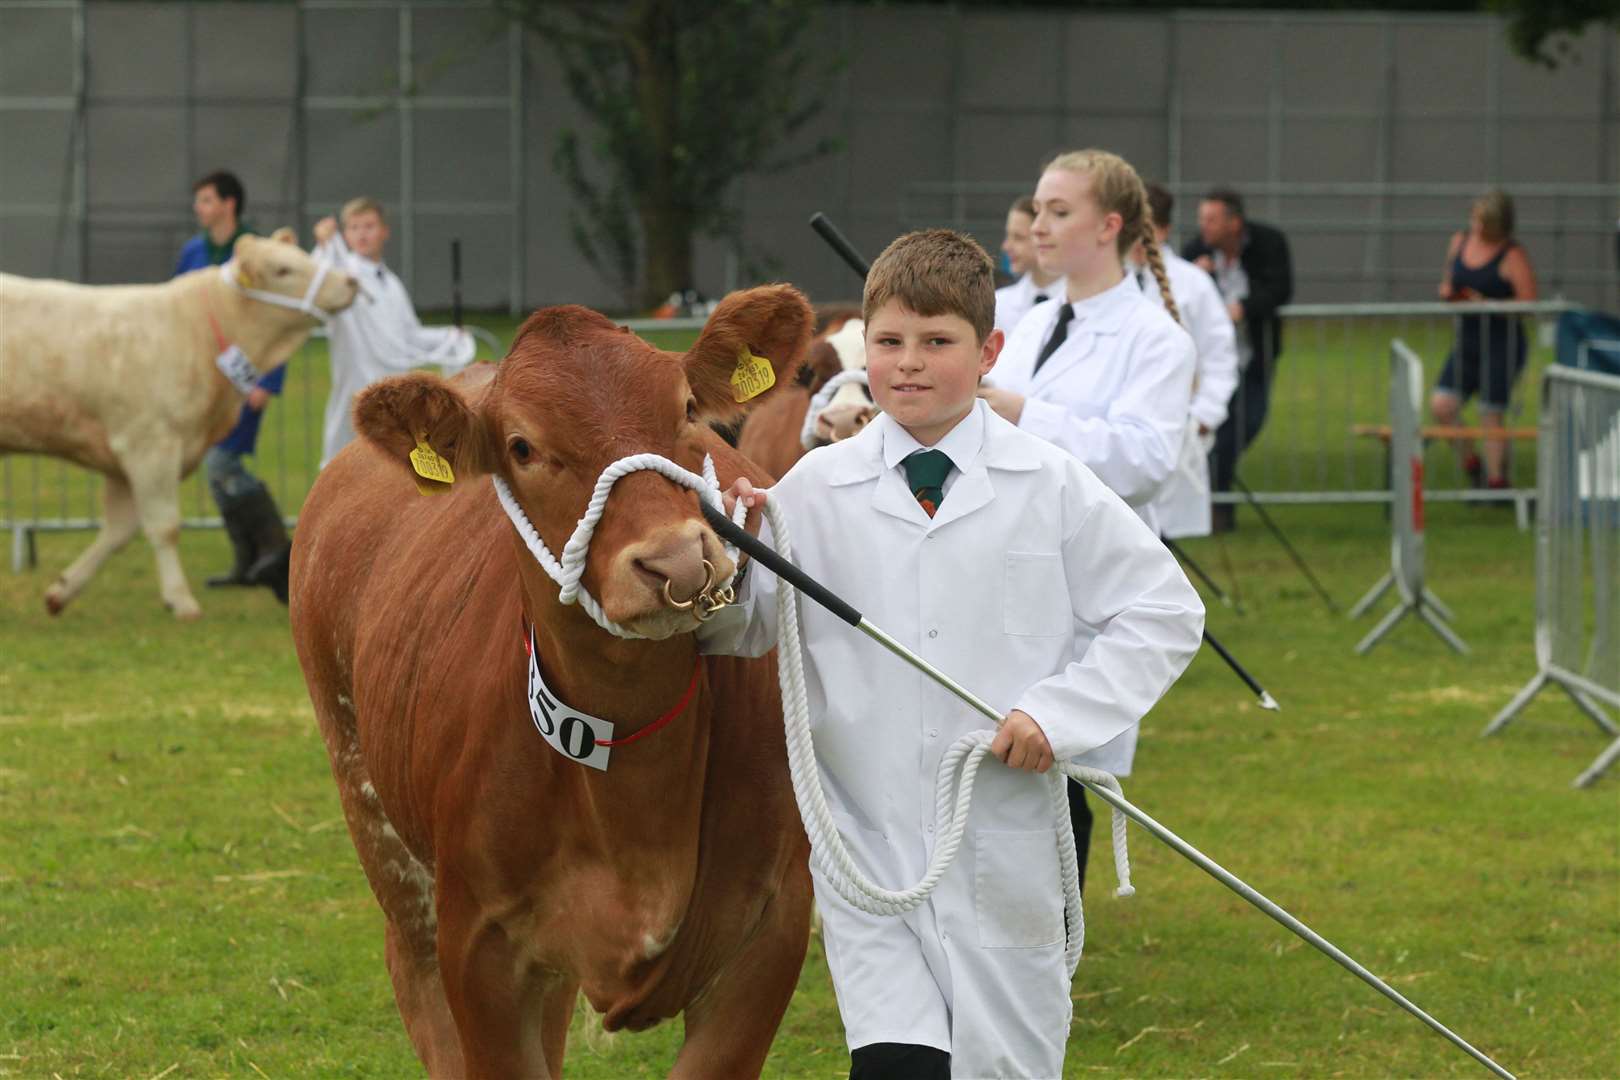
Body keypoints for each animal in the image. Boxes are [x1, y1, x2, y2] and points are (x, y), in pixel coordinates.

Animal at [0, 233, 358, 621]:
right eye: (283, 269)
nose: (350, 281)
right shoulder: (150, 444)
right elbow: (165, 526)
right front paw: (181, 599)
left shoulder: (123, 459)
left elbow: (118, 531)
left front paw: (61, 592)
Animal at [288, 283, 810, 1075]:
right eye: (523, 447)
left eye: (688, 405)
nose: (677, 562)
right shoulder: (478, 944)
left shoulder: (770, 930)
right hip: (375, 823)